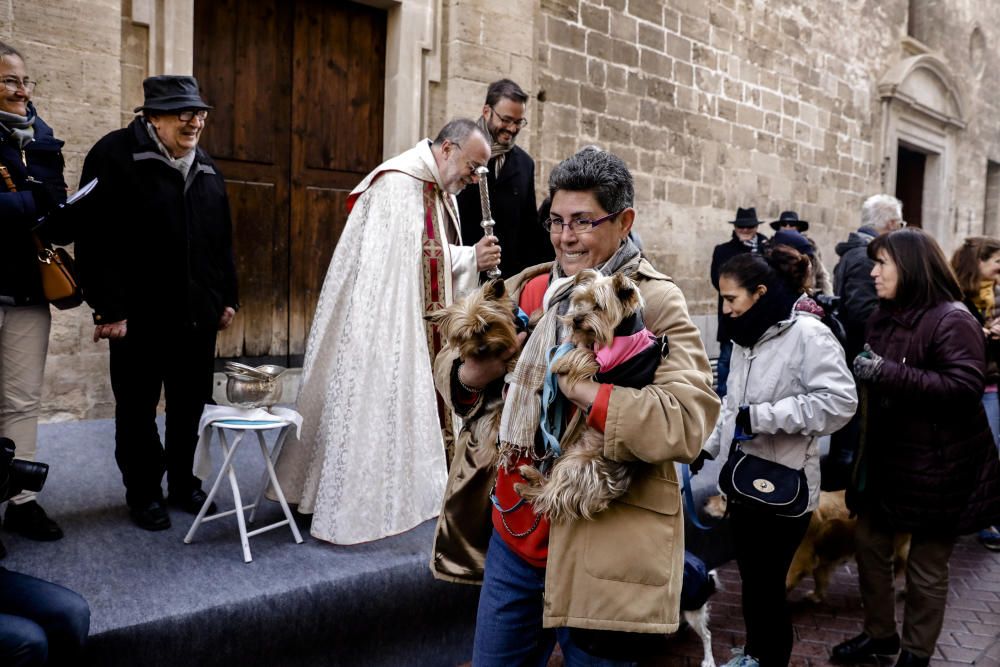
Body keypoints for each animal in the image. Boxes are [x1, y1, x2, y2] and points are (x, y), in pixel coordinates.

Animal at [516, 270, 656, 520]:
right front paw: (538, 318)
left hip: (578, 465)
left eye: (599, 306)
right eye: (580, 301)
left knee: (551, 495)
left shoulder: (604, 363)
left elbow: (583, 354)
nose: (576, 319)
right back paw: (529, 477)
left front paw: (560, 362)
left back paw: (527, 485)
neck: (621, 330)